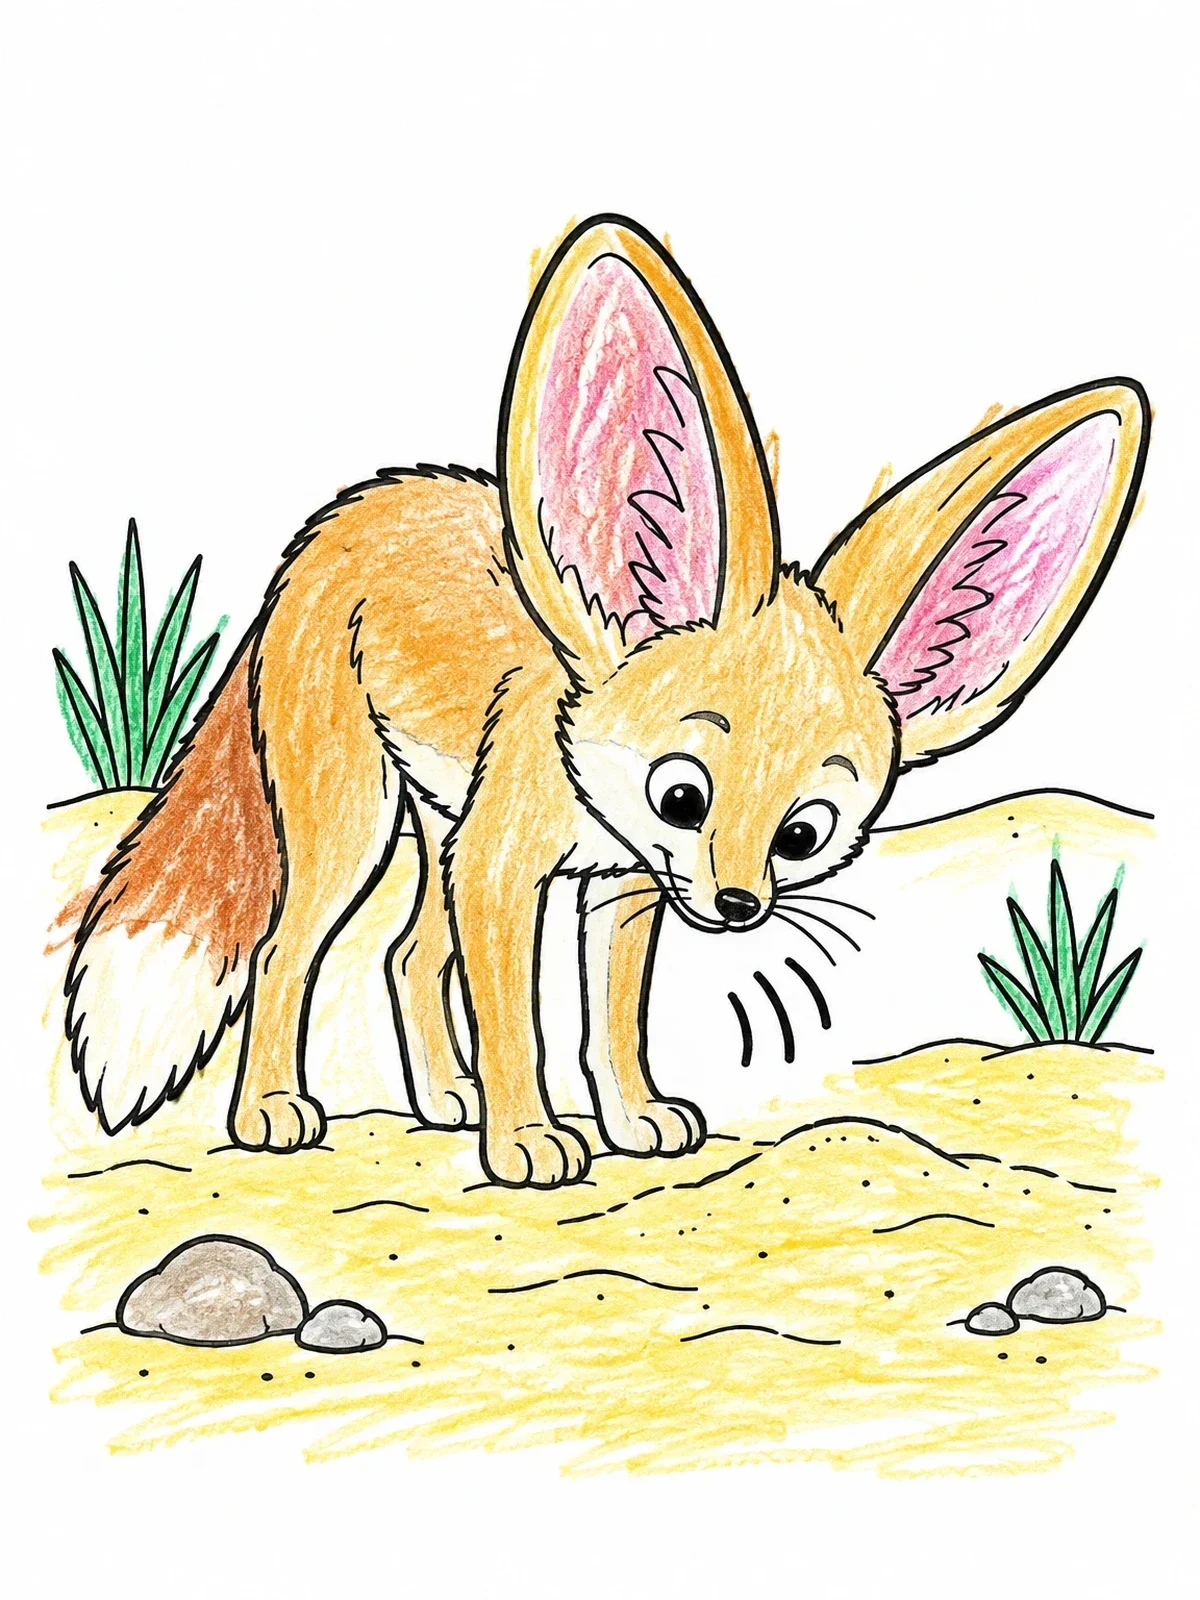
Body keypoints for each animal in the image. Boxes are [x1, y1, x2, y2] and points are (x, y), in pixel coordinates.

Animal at [65, 215, 1149, 1188]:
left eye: (803, 832)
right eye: (684, 796)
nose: (738, 905)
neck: (589, 796)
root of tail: (337, 520)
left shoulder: (627, 886)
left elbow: (612, 1025)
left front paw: (632, 1120)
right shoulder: (505, 868)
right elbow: (522, 1026)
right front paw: (526, 1141)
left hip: (437, 821)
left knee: (408, 956)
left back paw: (443, 1099)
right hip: (354, 818)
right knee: (286, 952)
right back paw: (274, 1111)